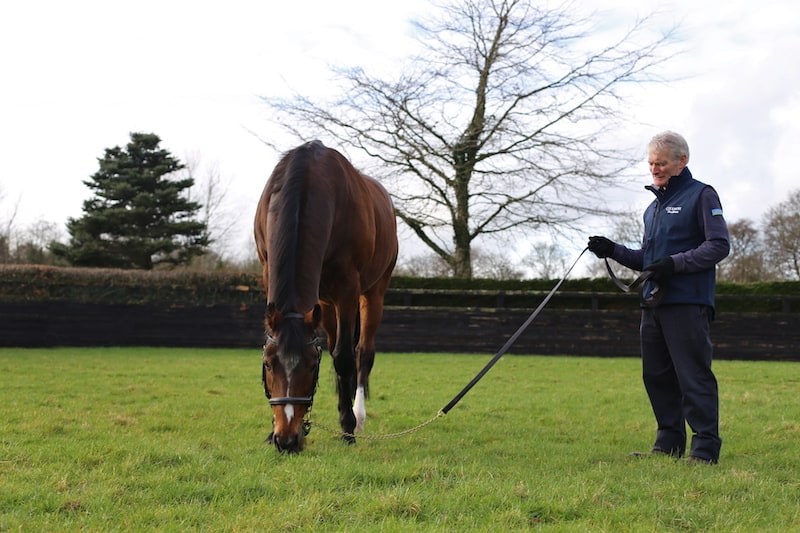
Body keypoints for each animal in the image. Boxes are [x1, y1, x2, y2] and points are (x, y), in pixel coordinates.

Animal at [253, 139, 396, 450]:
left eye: (310, 366)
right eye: (268, 364)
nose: (287, 440)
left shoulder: (348, 288)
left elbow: (344, 357)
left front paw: (348, 429)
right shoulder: (268, 273)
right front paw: (269, 432)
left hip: (373, 293)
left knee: (362, 352)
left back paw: (357, 415)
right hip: (324, 302)